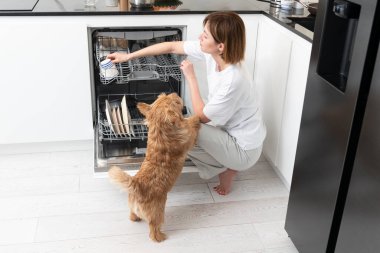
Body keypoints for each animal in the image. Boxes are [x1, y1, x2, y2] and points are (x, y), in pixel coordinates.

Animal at [108, 92, 200, 241]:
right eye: (175, 102)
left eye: (165, 95)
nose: (175, 93)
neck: (160, 130)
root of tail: (137, 186)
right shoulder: (188, 137)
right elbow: (190, 126)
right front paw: (195, 118)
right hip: (157, 213)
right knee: (153, 229)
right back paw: (160, 237)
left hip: (133, 206)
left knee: (132, 214)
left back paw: (135, 218)